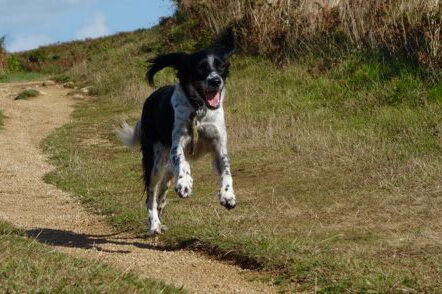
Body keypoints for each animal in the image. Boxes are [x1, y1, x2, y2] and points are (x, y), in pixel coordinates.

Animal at [115, 27, 237, 234]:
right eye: (200, 68)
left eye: (221, 67)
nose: (216, 81)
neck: (199, 111)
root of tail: (150, 99)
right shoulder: (177, 144)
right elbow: (183, 162)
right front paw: (185, 183)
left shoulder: (219, 147)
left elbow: (227, 171)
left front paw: (228, 196)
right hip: (155, 161)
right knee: (151, 194)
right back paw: (154, 223)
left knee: (163, 186)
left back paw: (161, 210)